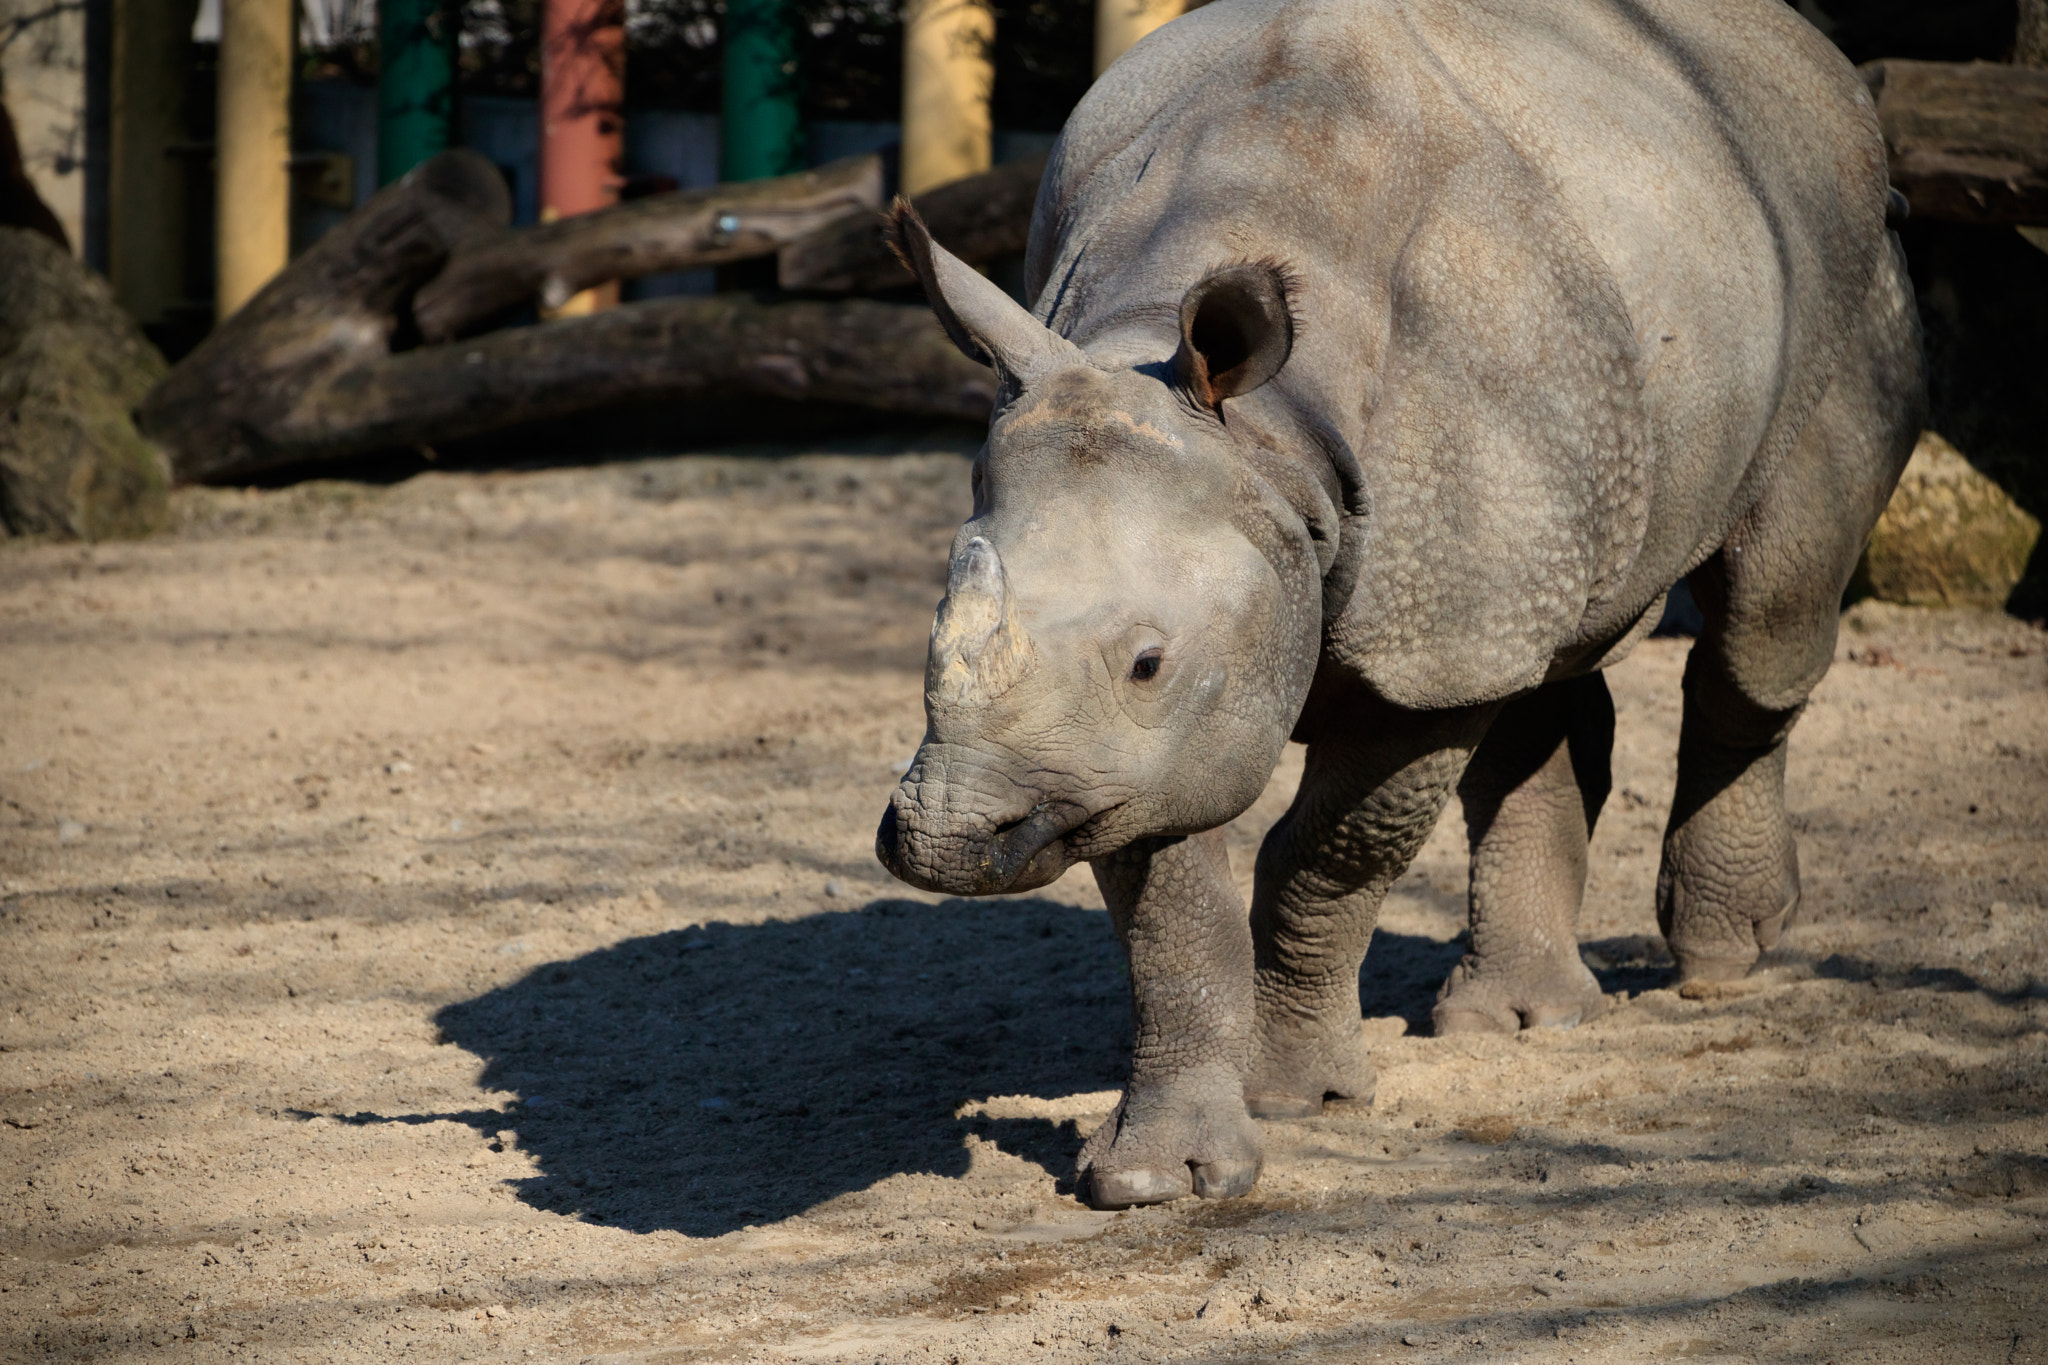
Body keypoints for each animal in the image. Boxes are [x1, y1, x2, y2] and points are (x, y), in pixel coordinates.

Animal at [875, 0, 1925, 1209]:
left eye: (1144, 659)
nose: (946, 839)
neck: (1269, 443)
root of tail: (1810, 56)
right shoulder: (1126, 746)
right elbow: (1170, 907)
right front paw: (1158, 1180)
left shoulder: (1369, 661)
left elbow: (1330, 855)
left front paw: (1296, 1095)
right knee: (1550, 643)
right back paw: (1521, 1021)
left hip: (1837, 259)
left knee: (1762, 621)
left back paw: (1721, 965)